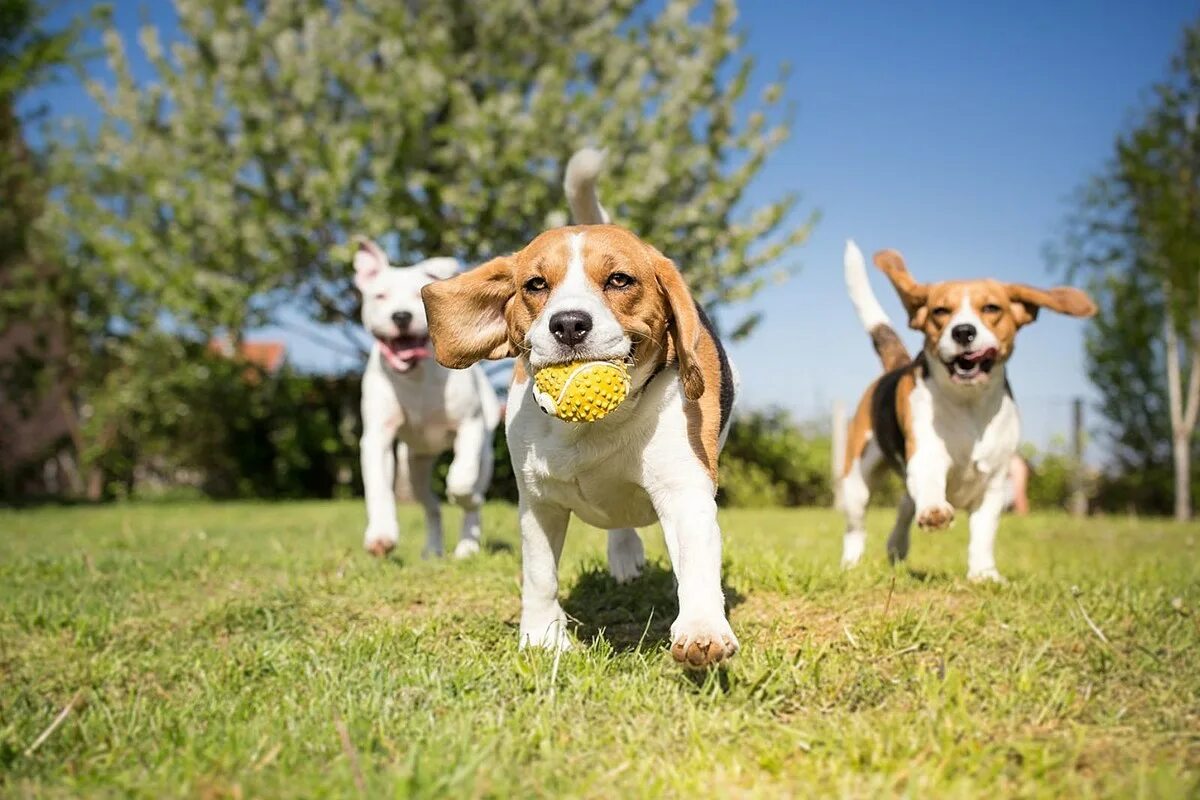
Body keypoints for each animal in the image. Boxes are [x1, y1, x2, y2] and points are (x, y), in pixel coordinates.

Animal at [350, 241, 501, 561]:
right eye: (380, 296)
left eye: (417, 295)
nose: (401, 316)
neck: (415, 376)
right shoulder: (377, 437)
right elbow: (378, 487)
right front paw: (381, 535)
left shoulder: (469, 426)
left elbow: (461, 480)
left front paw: (464, 495)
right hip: (414, 466)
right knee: (431, 506)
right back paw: (432, 549)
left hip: (485, 453)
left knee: (471, 495)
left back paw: (467, 545)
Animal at [422, 151, 739, 671]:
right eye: (535, 284)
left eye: (619, 280)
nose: (569, 323)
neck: (593, 428)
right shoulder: (538, 502)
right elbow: (539, 575)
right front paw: (541, 637)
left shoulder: (684, 490)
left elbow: (695, 563)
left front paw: (701, 629)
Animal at [840, 242, 1094, 582]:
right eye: (940, 312)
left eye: (991, 308)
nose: (962, 332)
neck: (969, 404)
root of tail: (896, 366)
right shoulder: (927, 456)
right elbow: (930, 485)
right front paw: (935, 512)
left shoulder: (995, 482)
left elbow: (983, 533)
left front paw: (984, 574)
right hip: (856, 481)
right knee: (857, 527)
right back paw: (851, 564)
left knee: (905, 506)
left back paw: (897, 547)